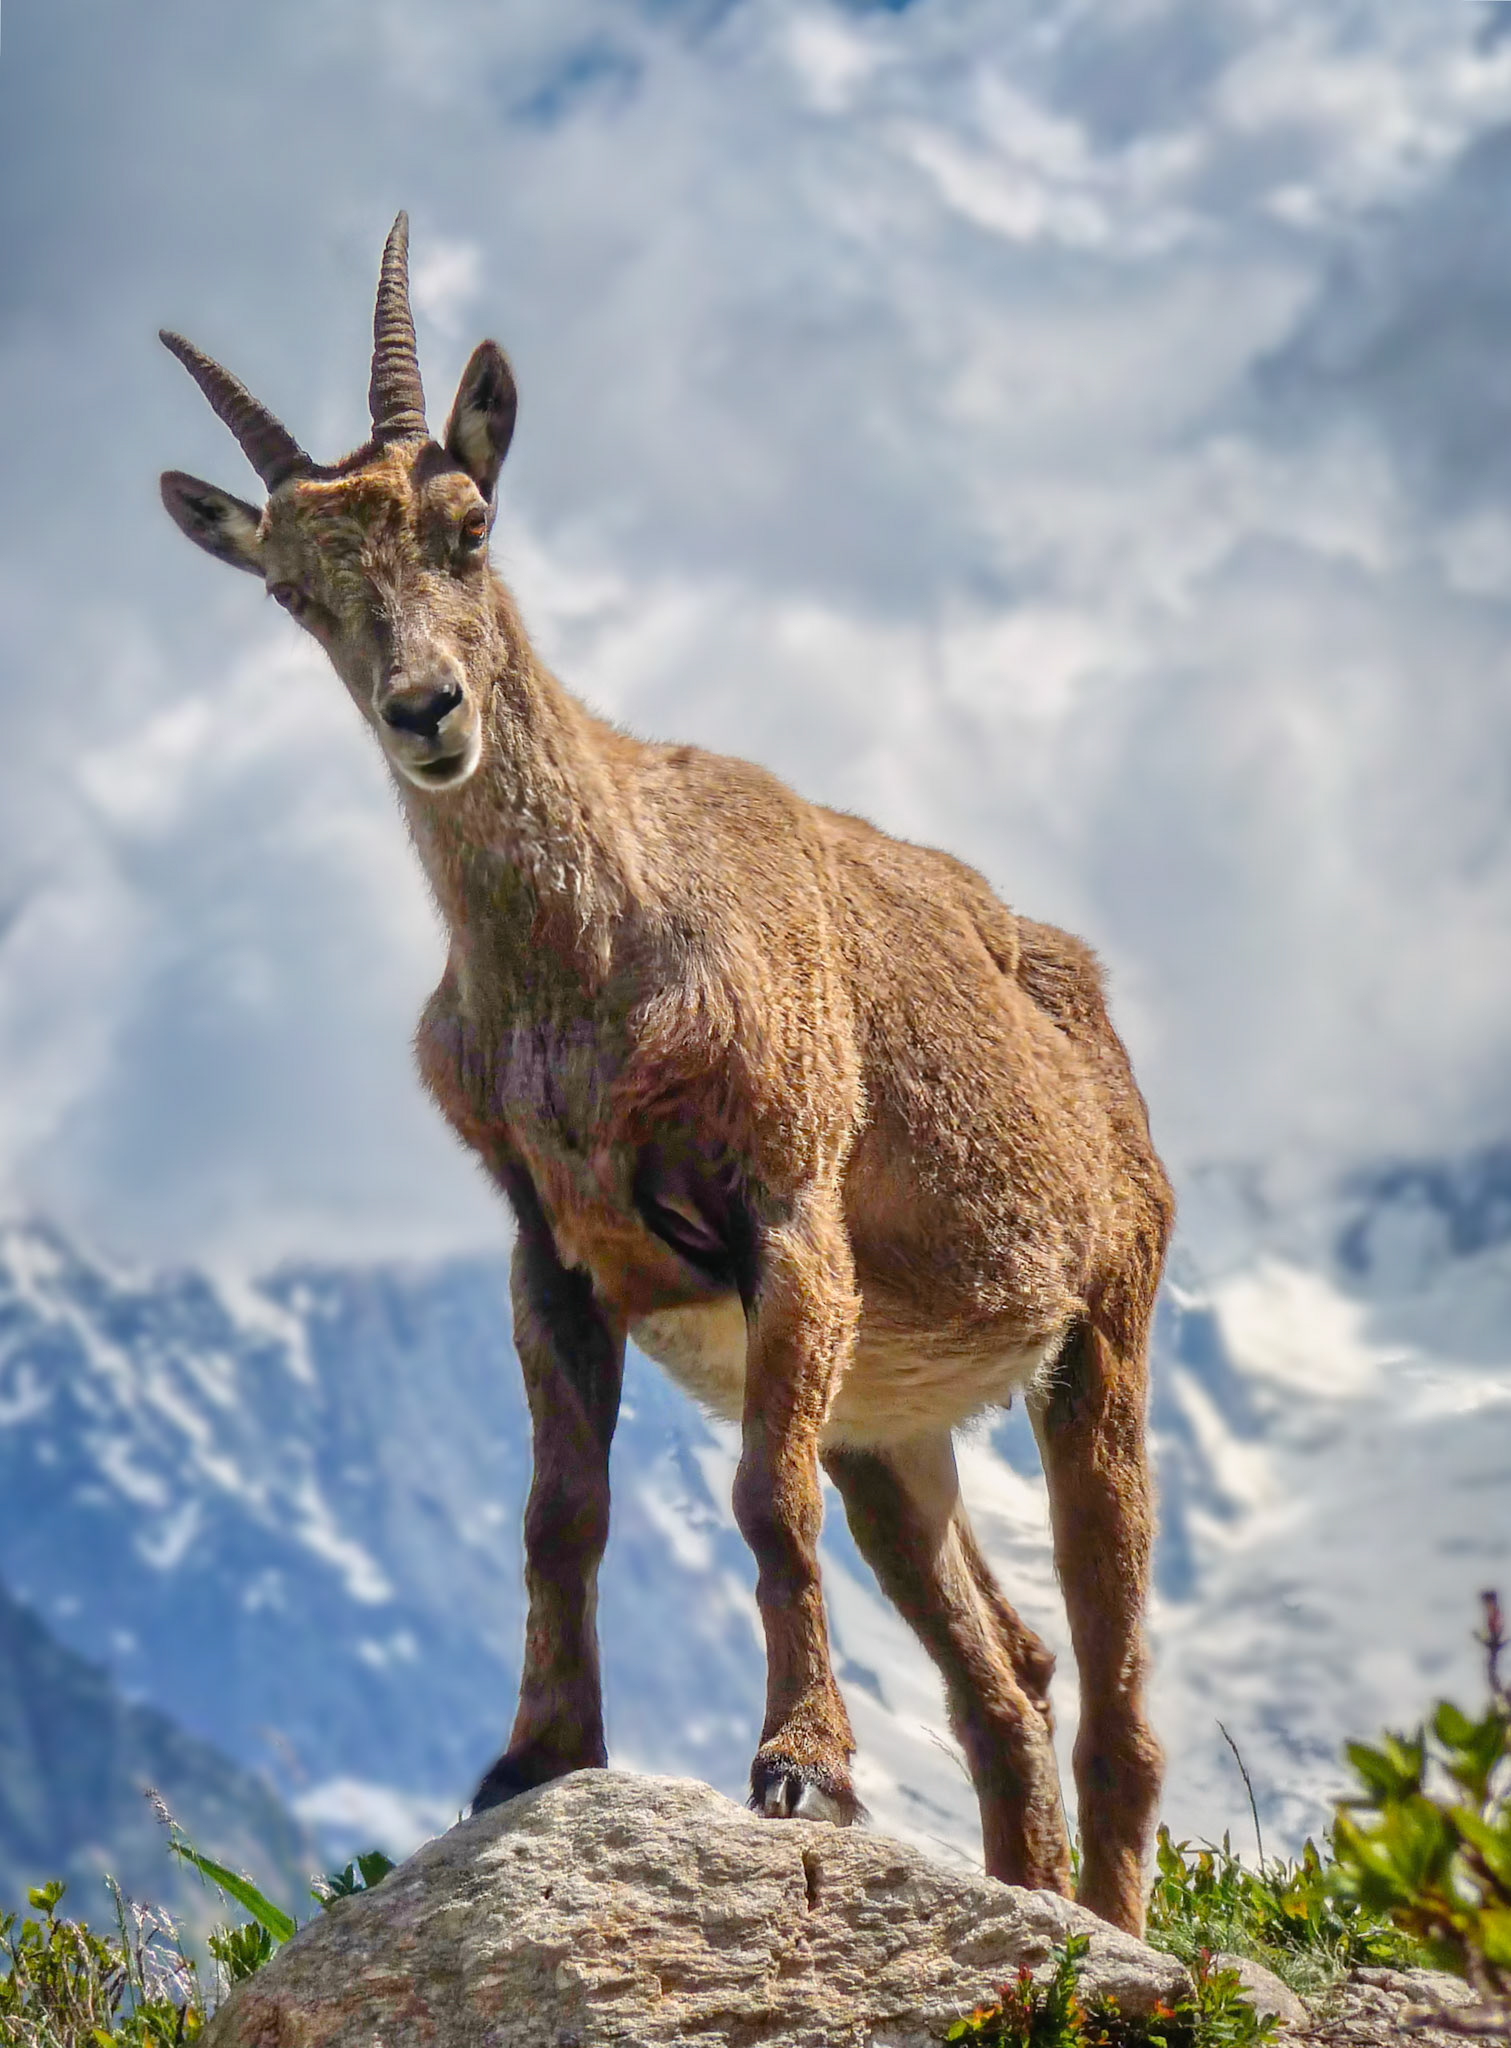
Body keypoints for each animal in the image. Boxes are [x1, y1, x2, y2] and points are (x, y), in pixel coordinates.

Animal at [159, 215, 1173, 1936]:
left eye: (469, 525)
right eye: (297, 594)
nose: (425, 712)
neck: (596, 958)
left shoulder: (787, 1206)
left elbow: (764, 1502)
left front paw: (800, 1772)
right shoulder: (550, 1248)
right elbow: (558, 1511)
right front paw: (534, 1757)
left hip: (1098, 1326)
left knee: (1110, 1675)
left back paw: (1103, 1923)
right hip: (896, 1421)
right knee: (1003, 1668)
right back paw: (1022, 1894)